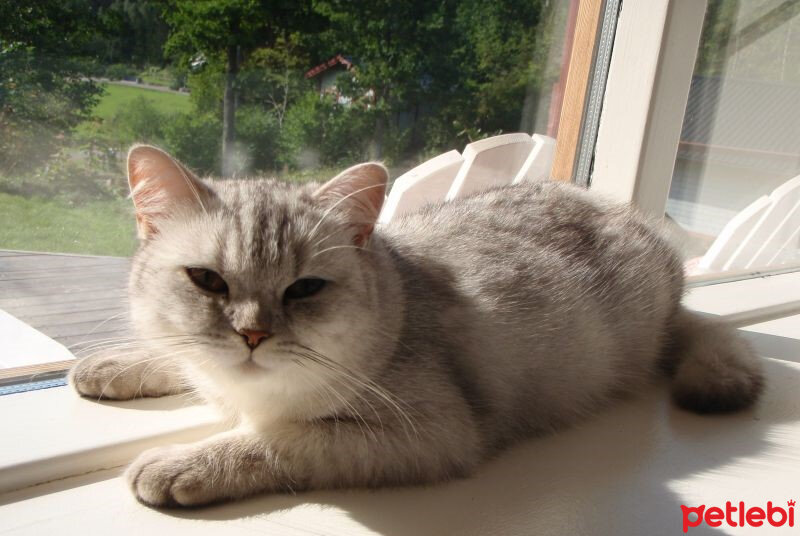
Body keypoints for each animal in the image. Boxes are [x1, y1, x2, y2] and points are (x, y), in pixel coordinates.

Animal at [73, 143, 764, 506]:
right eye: (209, 282)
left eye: (304, 290)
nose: (252, 335)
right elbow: (176, 357)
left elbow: (276, 440)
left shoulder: (429, 432)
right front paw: (111, 365)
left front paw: (179, 465)